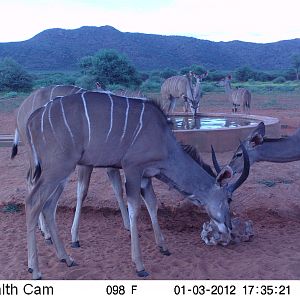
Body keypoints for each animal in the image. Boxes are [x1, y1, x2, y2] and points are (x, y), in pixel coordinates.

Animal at [10, 84, 130, 246]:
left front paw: (128, 225)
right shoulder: (86, 164)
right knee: (33, 182)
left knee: (31, 181)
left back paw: (42, 229)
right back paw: (46, 233)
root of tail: (21, 109)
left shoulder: (110, 165)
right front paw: (74, 237)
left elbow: (118, 188)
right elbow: (82, 192)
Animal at [25, 91, 250, 278]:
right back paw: (35, 269)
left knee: (48, 206)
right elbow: (134, 209)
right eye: (229, 198)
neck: (164, 141)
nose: (229, 229)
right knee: (33, 202)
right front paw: (140, 265)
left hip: (60, 173)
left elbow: (152, 204)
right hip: (58, 168)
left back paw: (66, 258)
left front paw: (163, 247)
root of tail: (33, 118)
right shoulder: (132, 168)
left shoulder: (146, 176)